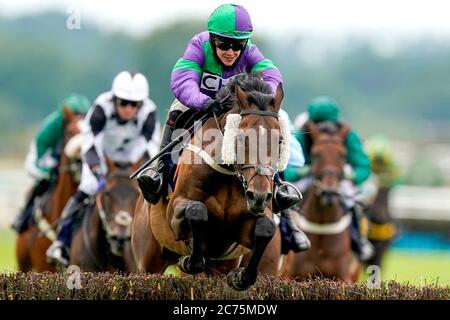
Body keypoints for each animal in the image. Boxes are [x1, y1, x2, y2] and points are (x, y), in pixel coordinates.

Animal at [132, 74, 290, 290]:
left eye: (280, 141)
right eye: (240, 138)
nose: (258, 196)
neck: (229, 174)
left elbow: (266, 229)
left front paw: (241, 277)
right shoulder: (175, 209)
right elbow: (197, 211)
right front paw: (188, 261)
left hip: (219, 267)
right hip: (148, 260)